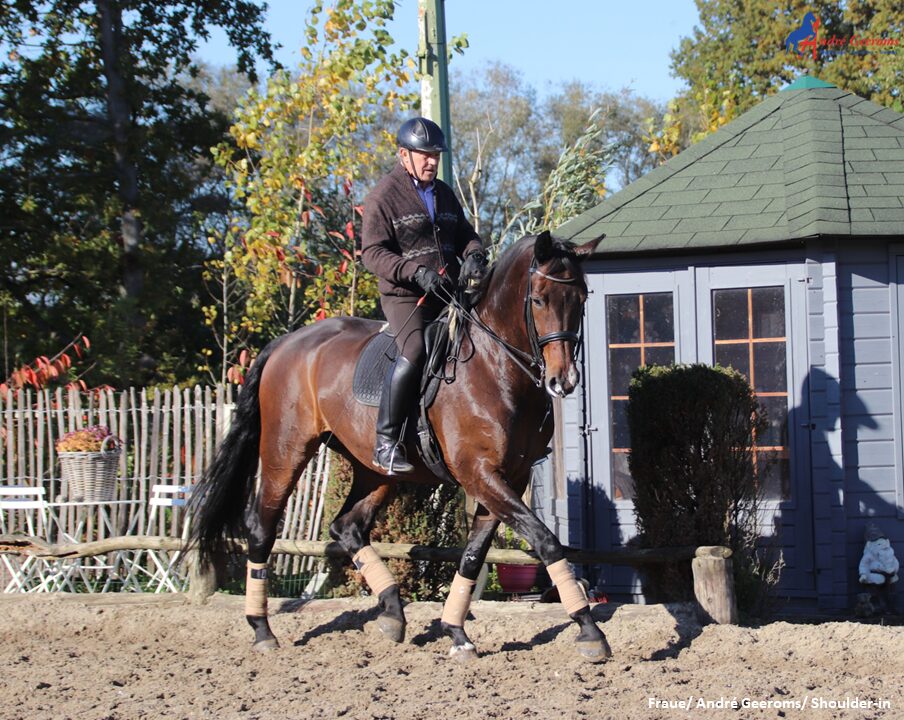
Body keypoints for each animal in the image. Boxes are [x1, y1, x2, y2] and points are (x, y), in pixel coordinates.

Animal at [191, 232, 616, 664]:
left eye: (580, 298)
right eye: (539, 300)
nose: (564, 380)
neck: (495, 365)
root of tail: (285, 343)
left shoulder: (510, 477)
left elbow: (474, 555)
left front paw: (456, 632)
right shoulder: (479, 473)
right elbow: (546, 541)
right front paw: (589, 630)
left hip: (373, 470)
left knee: (347, 526)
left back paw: (393, 611)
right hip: (286, 451)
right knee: (262, 527)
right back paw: (262, 629)